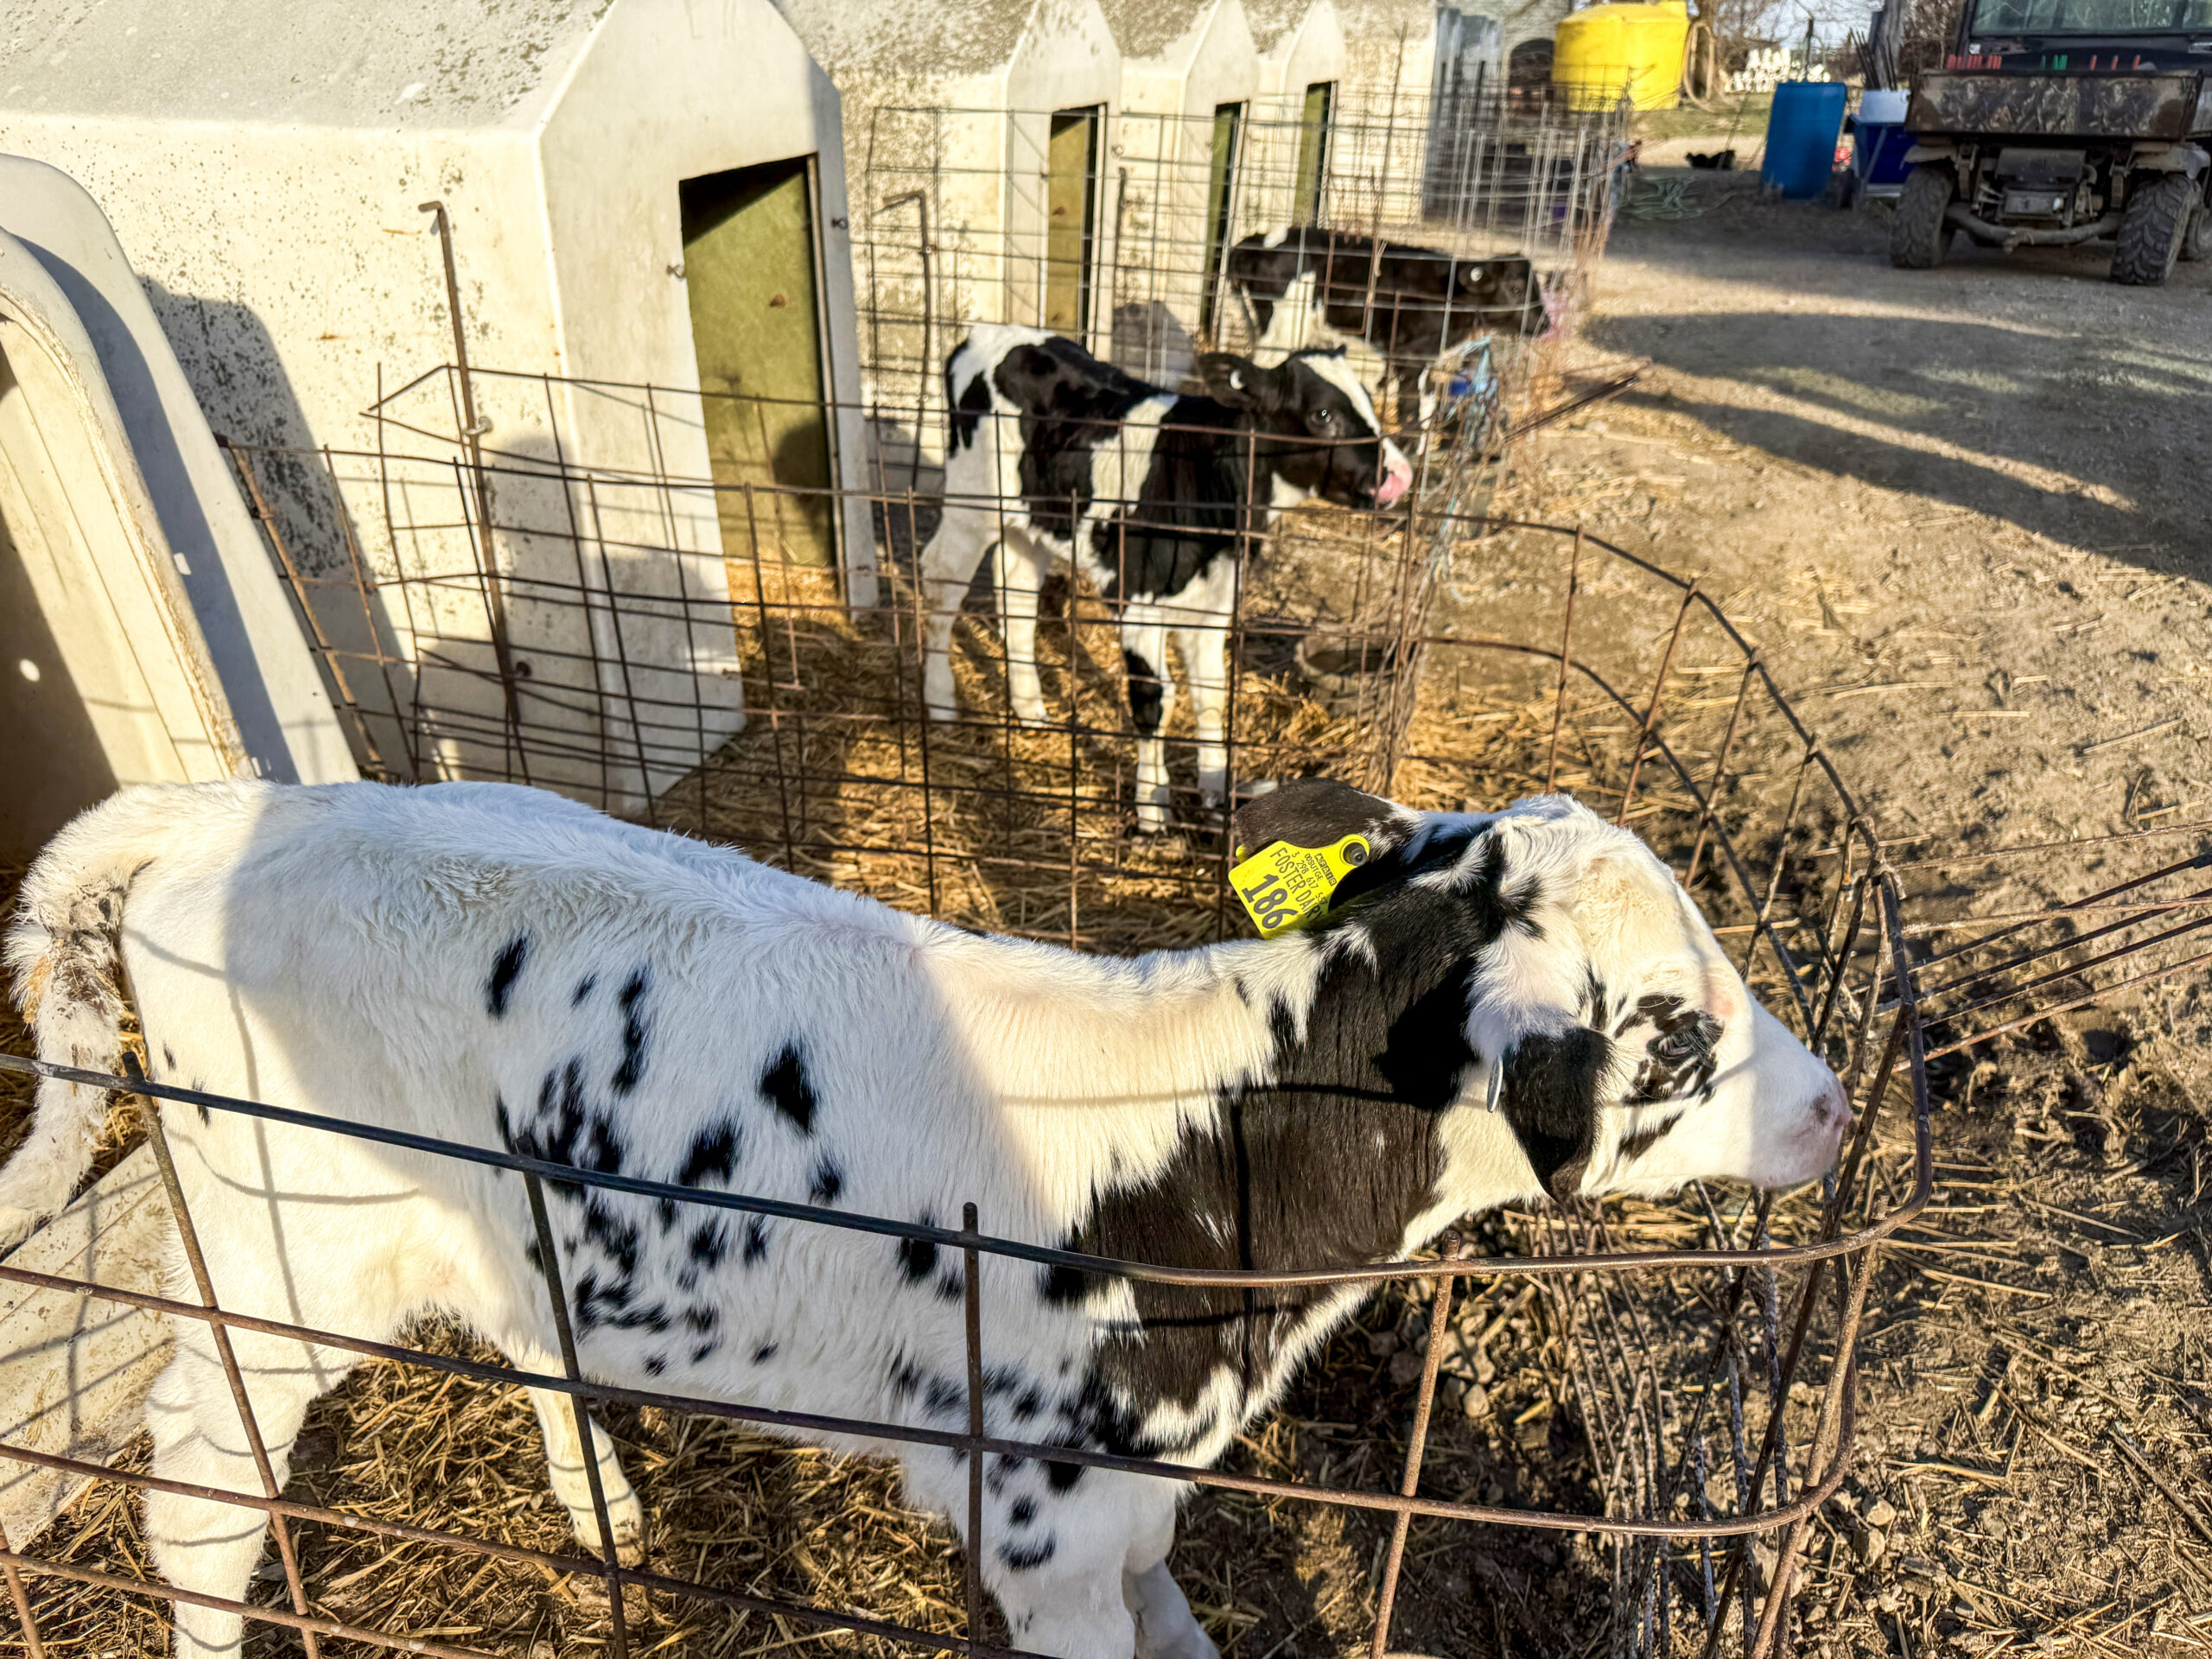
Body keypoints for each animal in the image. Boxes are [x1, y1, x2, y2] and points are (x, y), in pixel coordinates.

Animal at [4, 778, 1850, 1659]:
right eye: (1683, 1028)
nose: (1837, 1105)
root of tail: (229, 805)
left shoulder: (1133, 1496)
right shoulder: (1036, 1517)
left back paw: (608, 1513)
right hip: (280, 1237)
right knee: (197, 1483)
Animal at [917, 325, 1414, 833]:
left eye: (1370, 402)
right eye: (1322, 414)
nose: (1400, 475)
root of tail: (987, 332)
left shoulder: (1214, 603)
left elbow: (1210, 696)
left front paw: (1215, 790)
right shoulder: (1136, 599)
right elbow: (1153, 701)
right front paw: (1152, 807)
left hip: (1036, 517)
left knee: (1015, 596)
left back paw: (1030, 708)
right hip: (971, 504)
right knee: (940, 581)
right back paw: (940, 700)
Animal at [1224, 227, 1550, 424]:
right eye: (1516, 289)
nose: (1545, 323)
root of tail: (1255, 241)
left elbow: (1426, 405)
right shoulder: (1410, 358)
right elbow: (1411, 411)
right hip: (1281, 329)